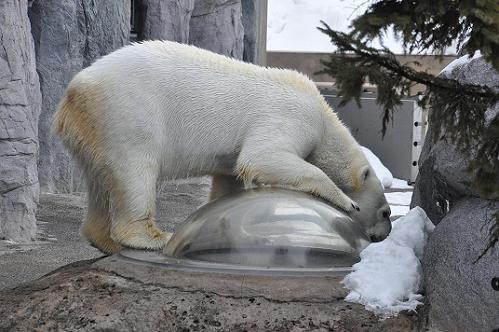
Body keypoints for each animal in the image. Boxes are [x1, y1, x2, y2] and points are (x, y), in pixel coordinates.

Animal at [51, 41, 394, 254]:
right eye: (386, 211)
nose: (386, 232)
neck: (325, 117)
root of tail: (73, 95)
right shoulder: (293, 116)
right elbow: (262, 156)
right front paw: (346, 202)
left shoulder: (230, 157)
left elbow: (230, 177)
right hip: (126, 113)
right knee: (135, 170)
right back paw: (153, 237)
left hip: (93, 131)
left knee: (101, 181)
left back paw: (104, 240)